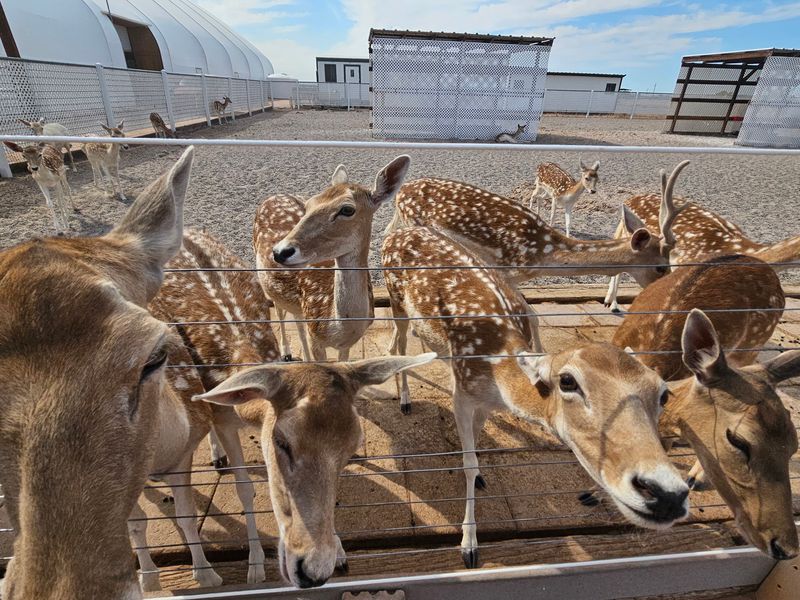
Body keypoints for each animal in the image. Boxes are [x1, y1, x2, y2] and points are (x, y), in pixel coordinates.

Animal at [254, 155, 410, 361]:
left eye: (347, 210)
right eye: (309, 205)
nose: (280, 251)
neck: (339, 329)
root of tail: (272, 196)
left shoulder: (347, 344)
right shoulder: (315, 337)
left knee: (296, 320)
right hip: (266, 281)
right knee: (279, 309)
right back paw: (286, 352)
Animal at [382, 225, 690, 569]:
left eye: (663, 393)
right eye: (568, 381)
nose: (665, 493)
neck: (498, 373)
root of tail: (397, 234)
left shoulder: (485, 402)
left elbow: (475, 442)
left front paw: (480, 479)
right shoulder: (462, 389)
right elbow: (468, 463)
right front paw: (469, 545)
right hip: (395, 299)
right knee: (398, 343)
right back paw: (404, 399)